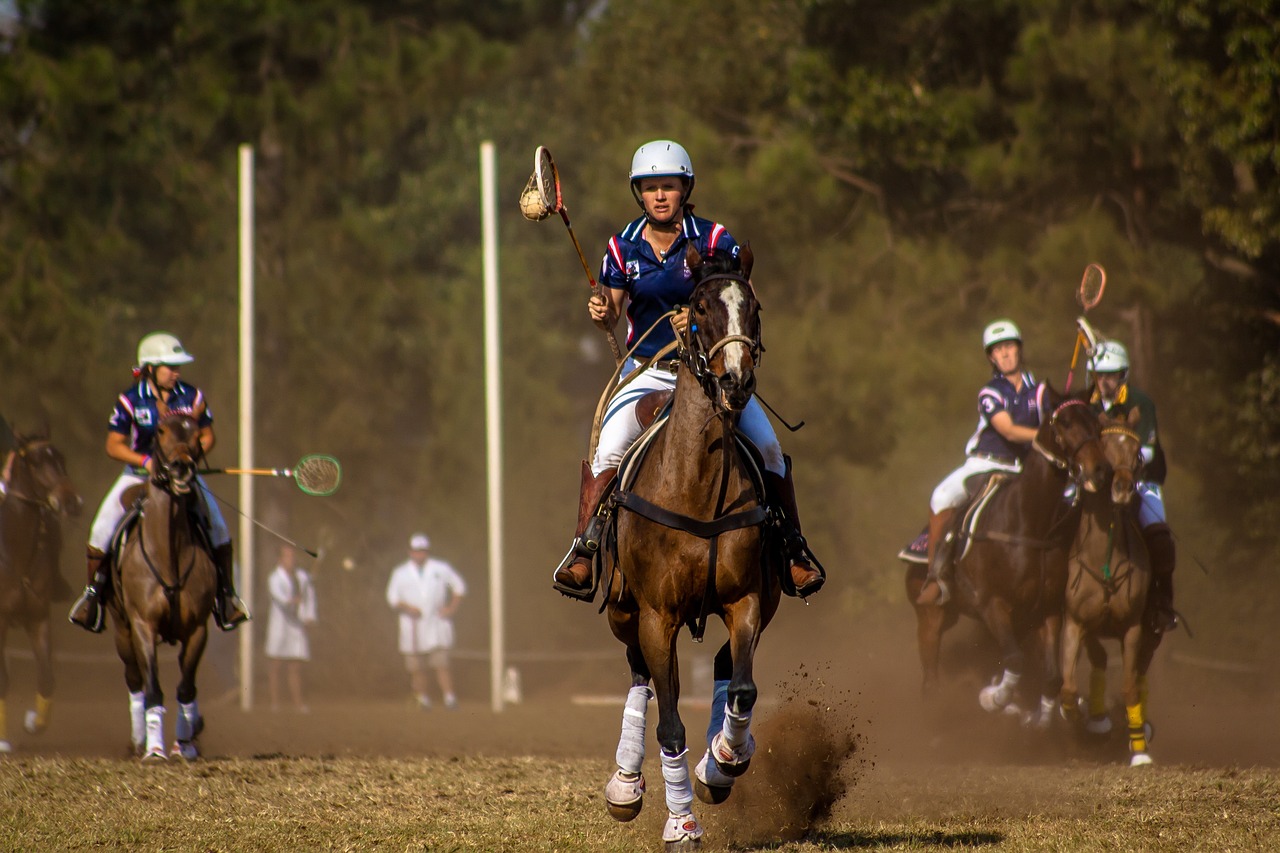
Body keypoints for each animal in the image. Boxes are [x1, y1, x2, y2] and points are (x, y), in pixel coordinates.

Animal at [0, 427, 82, 747]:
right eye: (34, 463)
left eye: (61, 458)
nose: (71, 502)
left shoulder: (37, 617)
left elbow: (47, 679)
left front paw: (34, 722)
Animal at [108, 412, 216, 758]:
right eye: (161, 431)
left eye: (195, 435)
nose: (182, 467)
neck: (168, 552)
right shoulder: (143, 624)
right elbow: (153, 687)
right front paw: (155, 750)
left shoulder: (197, 629)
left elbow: (186, 687)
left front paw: (186, 744)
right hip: (122, 627)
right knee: (134, 678)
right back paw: (139, 740)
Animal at [599, 244, 778, 845]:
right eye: (698, 308)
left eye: (754, 309)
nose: (736, 384)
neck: (698, 486)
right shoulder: (657, 615)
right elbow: (670, 723)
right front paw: (681, 823)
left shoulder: (746, 600)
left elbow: (743, 689)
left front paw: (723, 760)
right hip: (624, 610)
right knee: (641, 677)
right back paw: (626, 785)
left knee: (725, 668)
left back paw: (718, 759)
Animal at [911, 389, 1111, 722]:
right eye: (1065, 422)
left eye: (1097, 423)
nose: (1099, 469)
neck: (1029, 524)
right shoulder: (993, 604)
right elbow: (1015, 660)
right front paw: (995, 699)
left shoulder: (1045, 611)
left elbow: (1051, 676)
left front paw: (1040, 717)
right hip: (931, 614)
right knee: (929, 675)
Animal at [1054, 409, 1167, 758]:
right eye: (1104, 448)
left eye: (1138, 454)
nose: (1123, 488)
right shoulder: (1077, 622)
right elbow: (1069, 687)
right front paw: (1081, 724)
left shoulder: (1132, 627)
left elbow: (1130, 686)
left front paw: (1139, 750)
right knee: (1101, 662)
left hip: (1152, 630)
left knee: (1140, 674)